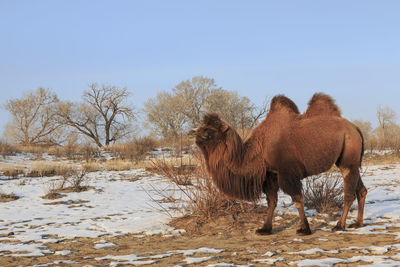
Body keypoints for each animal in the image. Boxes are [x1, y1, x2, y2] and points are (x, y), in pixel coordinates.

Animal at [192, 93, 368, 236]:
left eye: (208, 130)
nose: (193, 132)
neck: (260, 149)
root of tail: (356, 129)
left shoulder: (287, 173)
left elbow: (297, 199)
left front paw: (304, 229)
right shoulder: (271, 174)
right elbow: (272, 201)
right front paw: (265, 229)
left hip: (347, 158)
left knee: (349, 193)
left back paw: (339, 225)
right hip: (351, 162)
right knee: (361, 190)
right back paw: (357, 223)